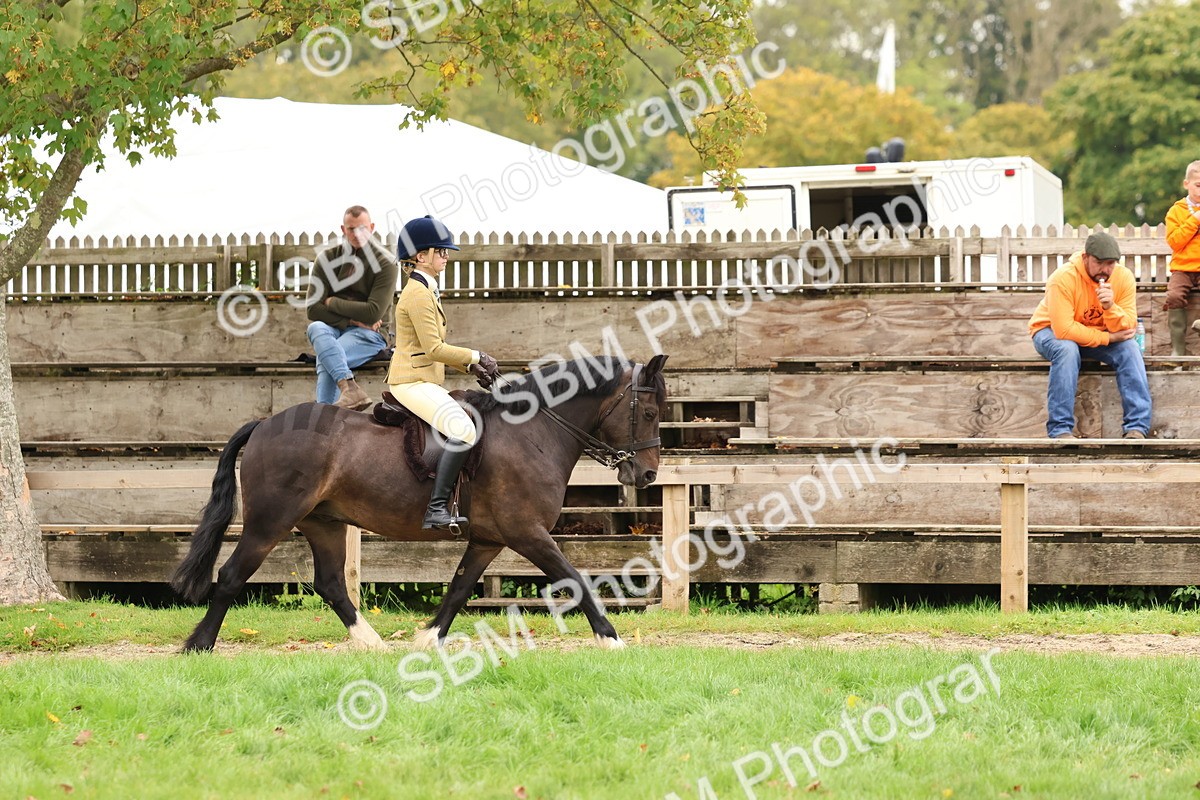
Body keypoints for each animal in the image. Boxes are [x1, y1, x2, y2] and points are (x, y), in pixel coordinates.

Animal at [170, 354, 669, 652]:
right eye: (648, 412)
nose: (647, 475)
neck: (534, 431)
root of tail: (264, 423)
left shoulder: (489, 540)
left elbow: (460, 588)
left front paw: (428, 639)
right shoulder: (528, 533)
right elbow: (576, 579)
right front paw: (610, 639)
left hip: (324, 523)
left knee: (330, 583)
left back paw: (372, 644)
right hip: (270, 522)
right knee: (231, 576)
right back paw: (199, 644)